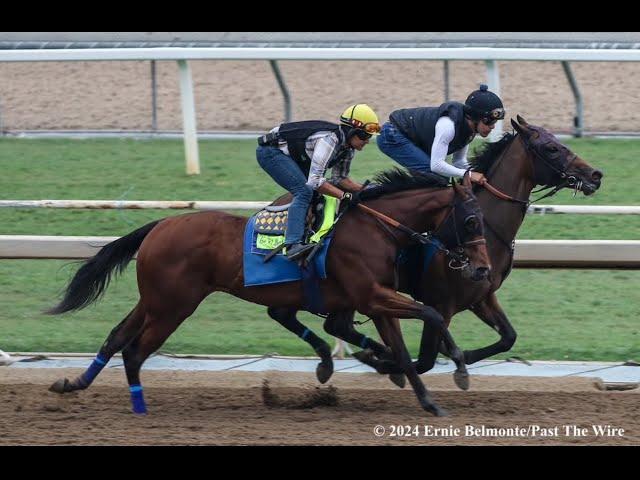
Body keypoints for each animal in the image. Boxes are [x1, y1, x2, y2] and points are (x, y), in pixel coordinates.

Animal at [48, 170, 490, 416]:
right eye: (471, 221)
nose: (483, 269)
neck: (376, 227)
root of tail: (161, 225)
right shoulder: (372, 296)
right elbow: (432, 314)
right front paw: (460, 368)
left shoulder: (376, 301)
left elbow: (402, 349)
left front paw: (427, 399)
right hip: (173, 307)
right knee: (134, 351)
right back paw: (140, 407)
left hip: (155, 301)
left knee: (116, 338)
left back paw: (73, 384)